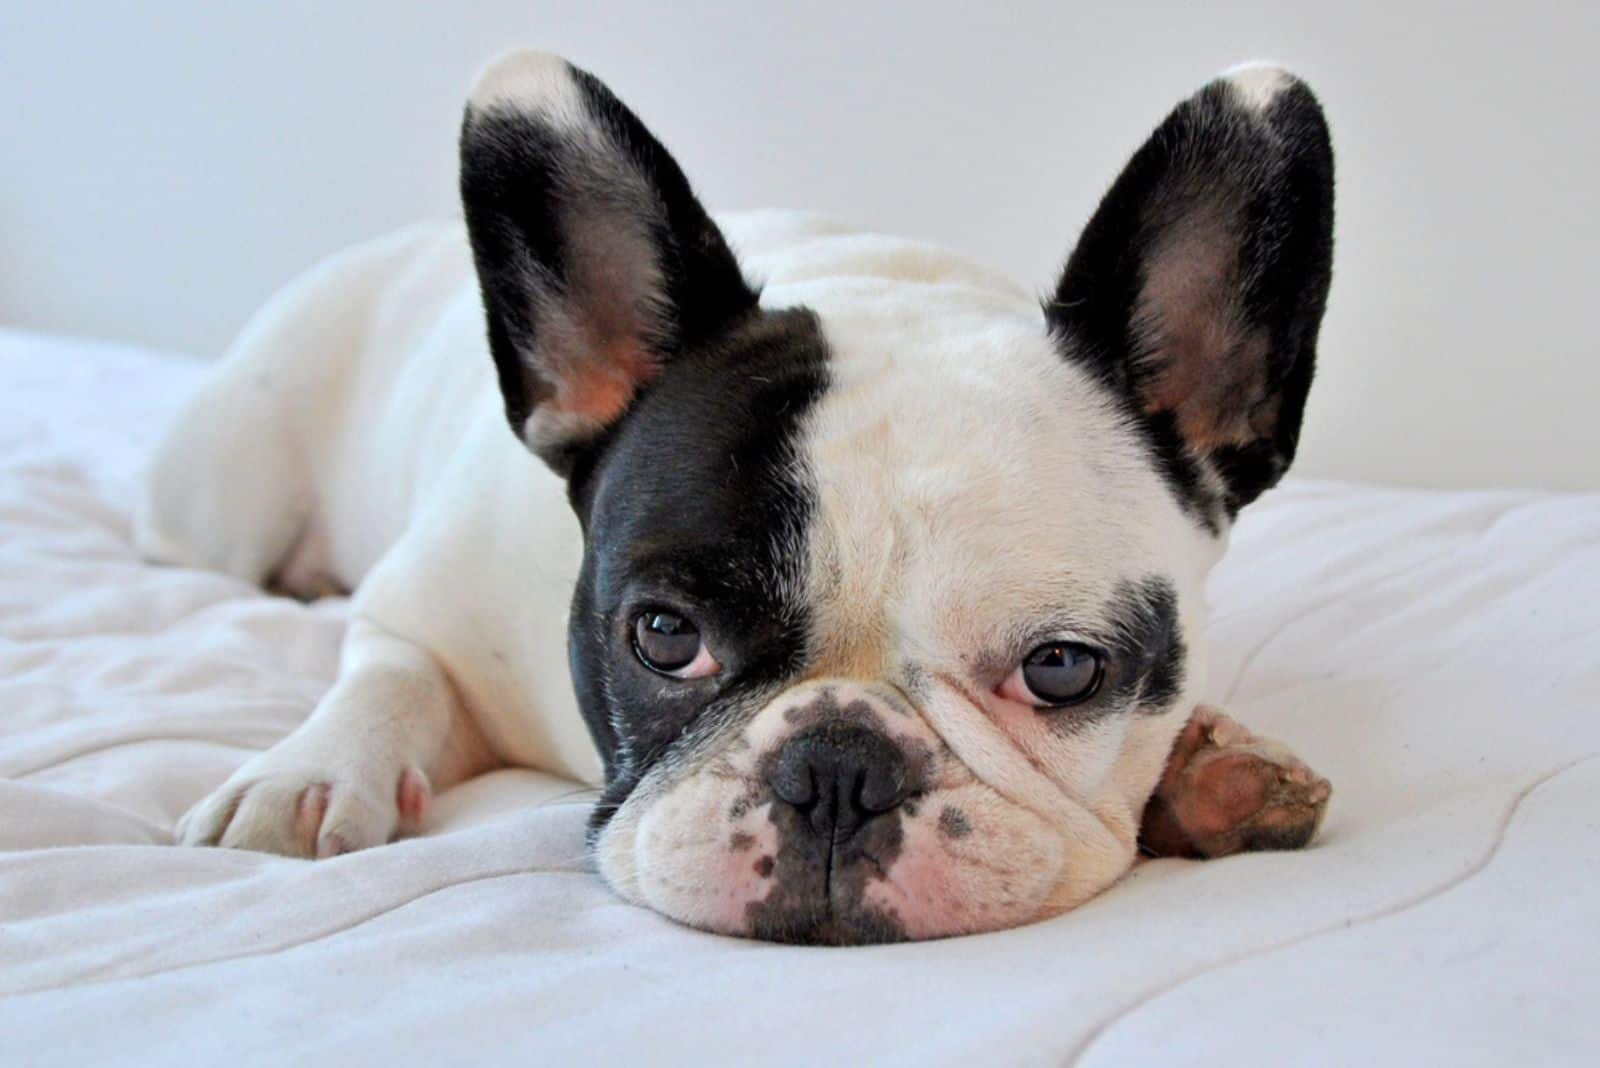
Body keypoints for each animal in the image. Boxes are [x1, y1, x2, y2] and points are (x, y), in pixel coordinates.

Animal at [137, 49, 1337, 940]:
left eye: (1062, 670)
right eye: (665, 636)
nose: (837, 770)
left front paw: (1216, 766)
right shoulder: (421, 609)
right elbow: (387, 679)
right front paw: (305, 776)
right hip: (227, 488)